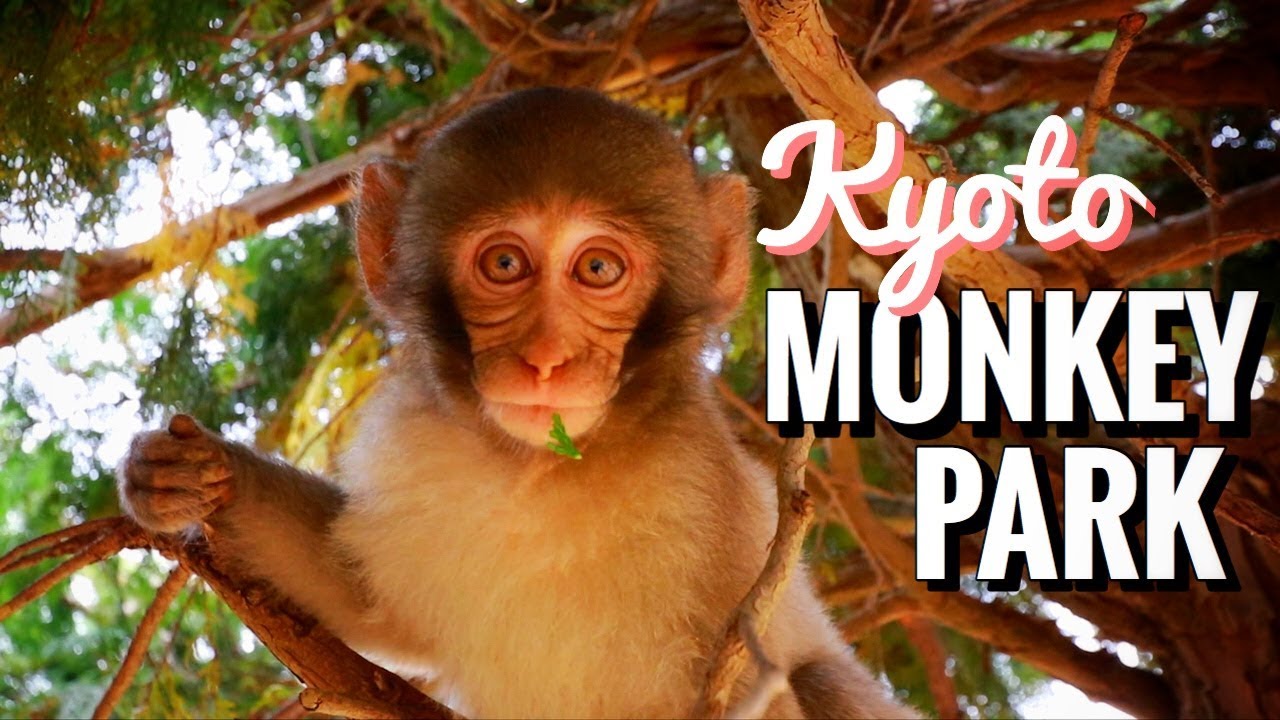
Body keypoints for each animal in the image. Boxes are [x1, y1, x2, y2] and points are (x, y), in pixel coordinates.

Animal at [118, 87, 916, 719]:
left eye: (598, 268)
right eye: (505, 263)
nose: (546, 359)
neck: (545, 473)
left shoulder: (714, 508)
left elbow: (770, 681)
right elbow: (372, 607)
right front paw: (202, 476)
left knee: (819, 681)